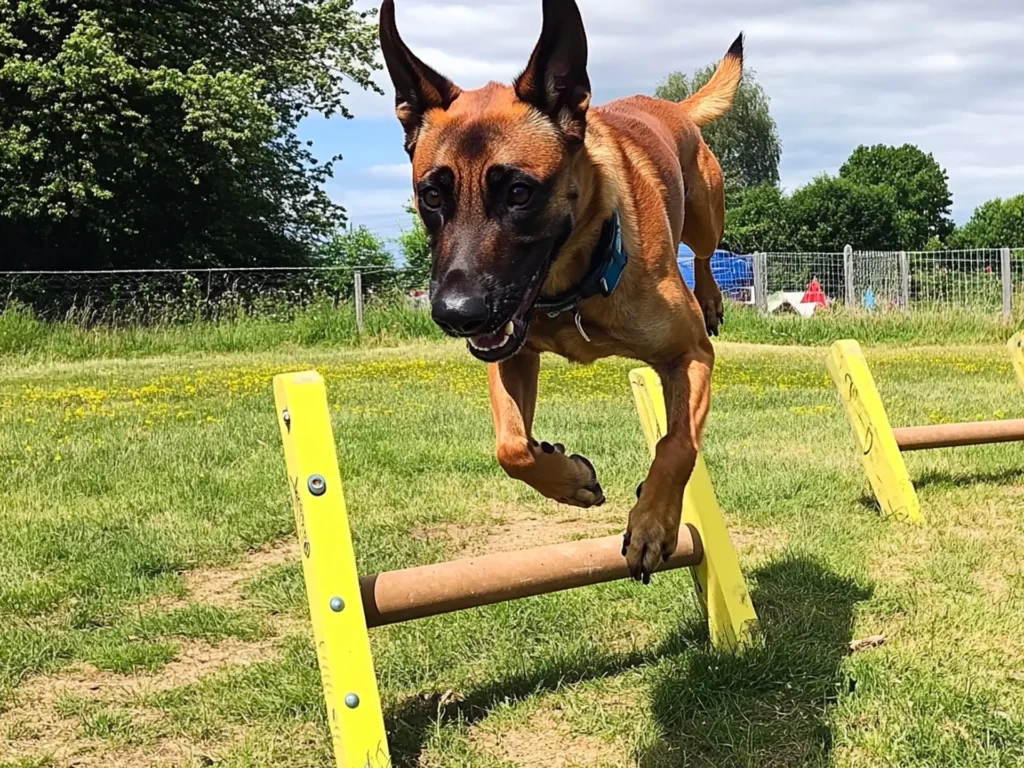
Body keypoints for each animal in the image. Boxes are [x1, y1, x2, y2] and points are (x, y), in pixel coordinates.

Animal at [380, 0, 741, 581]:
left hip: (706, 214)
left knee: (707, 252)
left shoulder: (690, 355)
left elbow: (678, 443)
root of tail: (669, 105)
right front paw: (567, 478)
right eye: (432, 195)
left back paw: (709, 297)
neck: (575, 290)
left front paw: (652, 524)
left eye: (519, 193)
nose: (456, 314)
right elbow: (511, 446)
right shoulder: (512, 353)